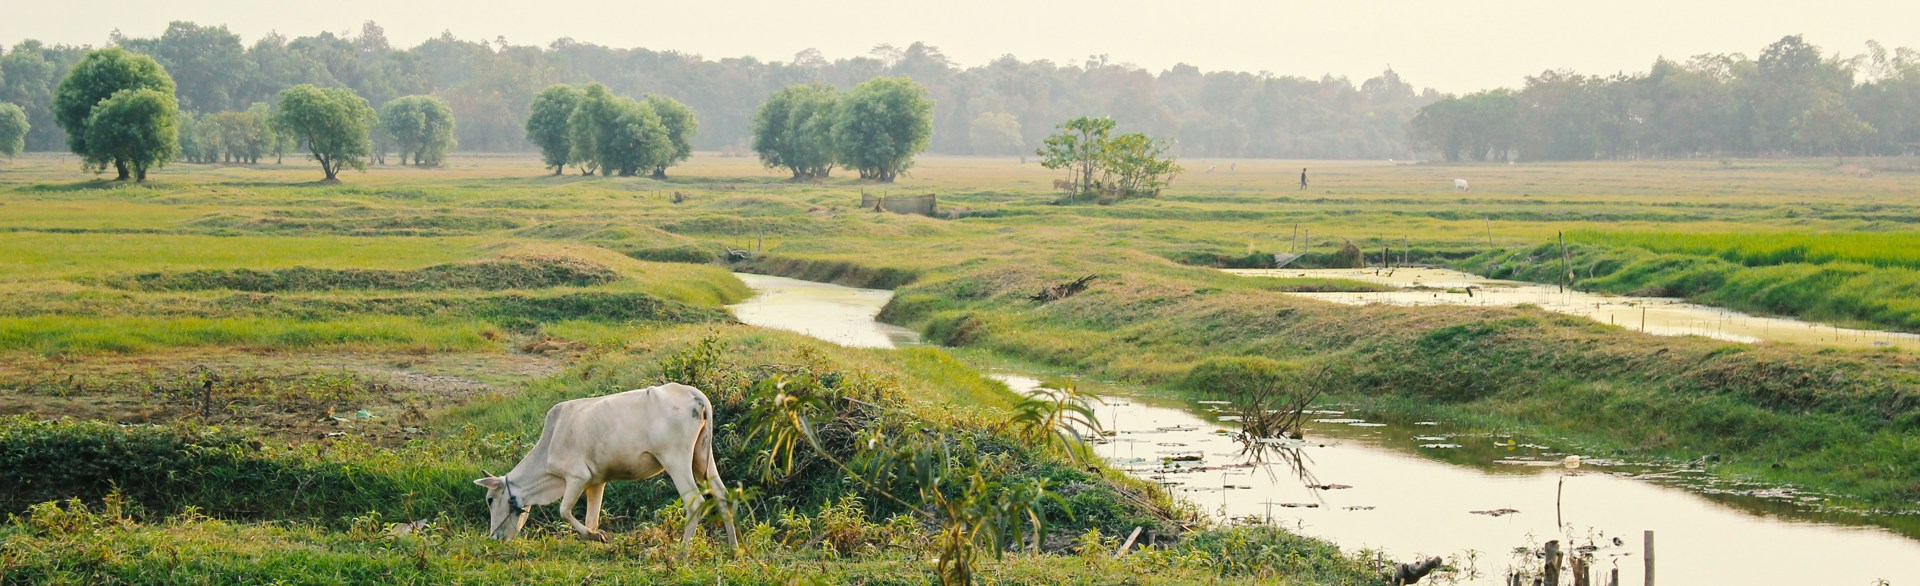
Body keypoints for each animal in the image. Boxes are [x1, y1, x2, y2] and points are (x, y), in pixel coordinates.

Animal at [473, 383, 737, 547]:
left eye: (489, 500)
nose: (494, 538)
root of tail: (695, 395)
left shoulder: (576, 477)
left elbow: (564, 510)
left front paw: (596, 536)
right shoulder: (596, 482)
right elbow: (591, 518)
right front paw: (592, 536)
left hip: (676, 460)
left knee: (696, 501)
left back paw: (682, 552)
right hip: (702, 458)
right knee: (722, 495)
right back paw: (734, 550)